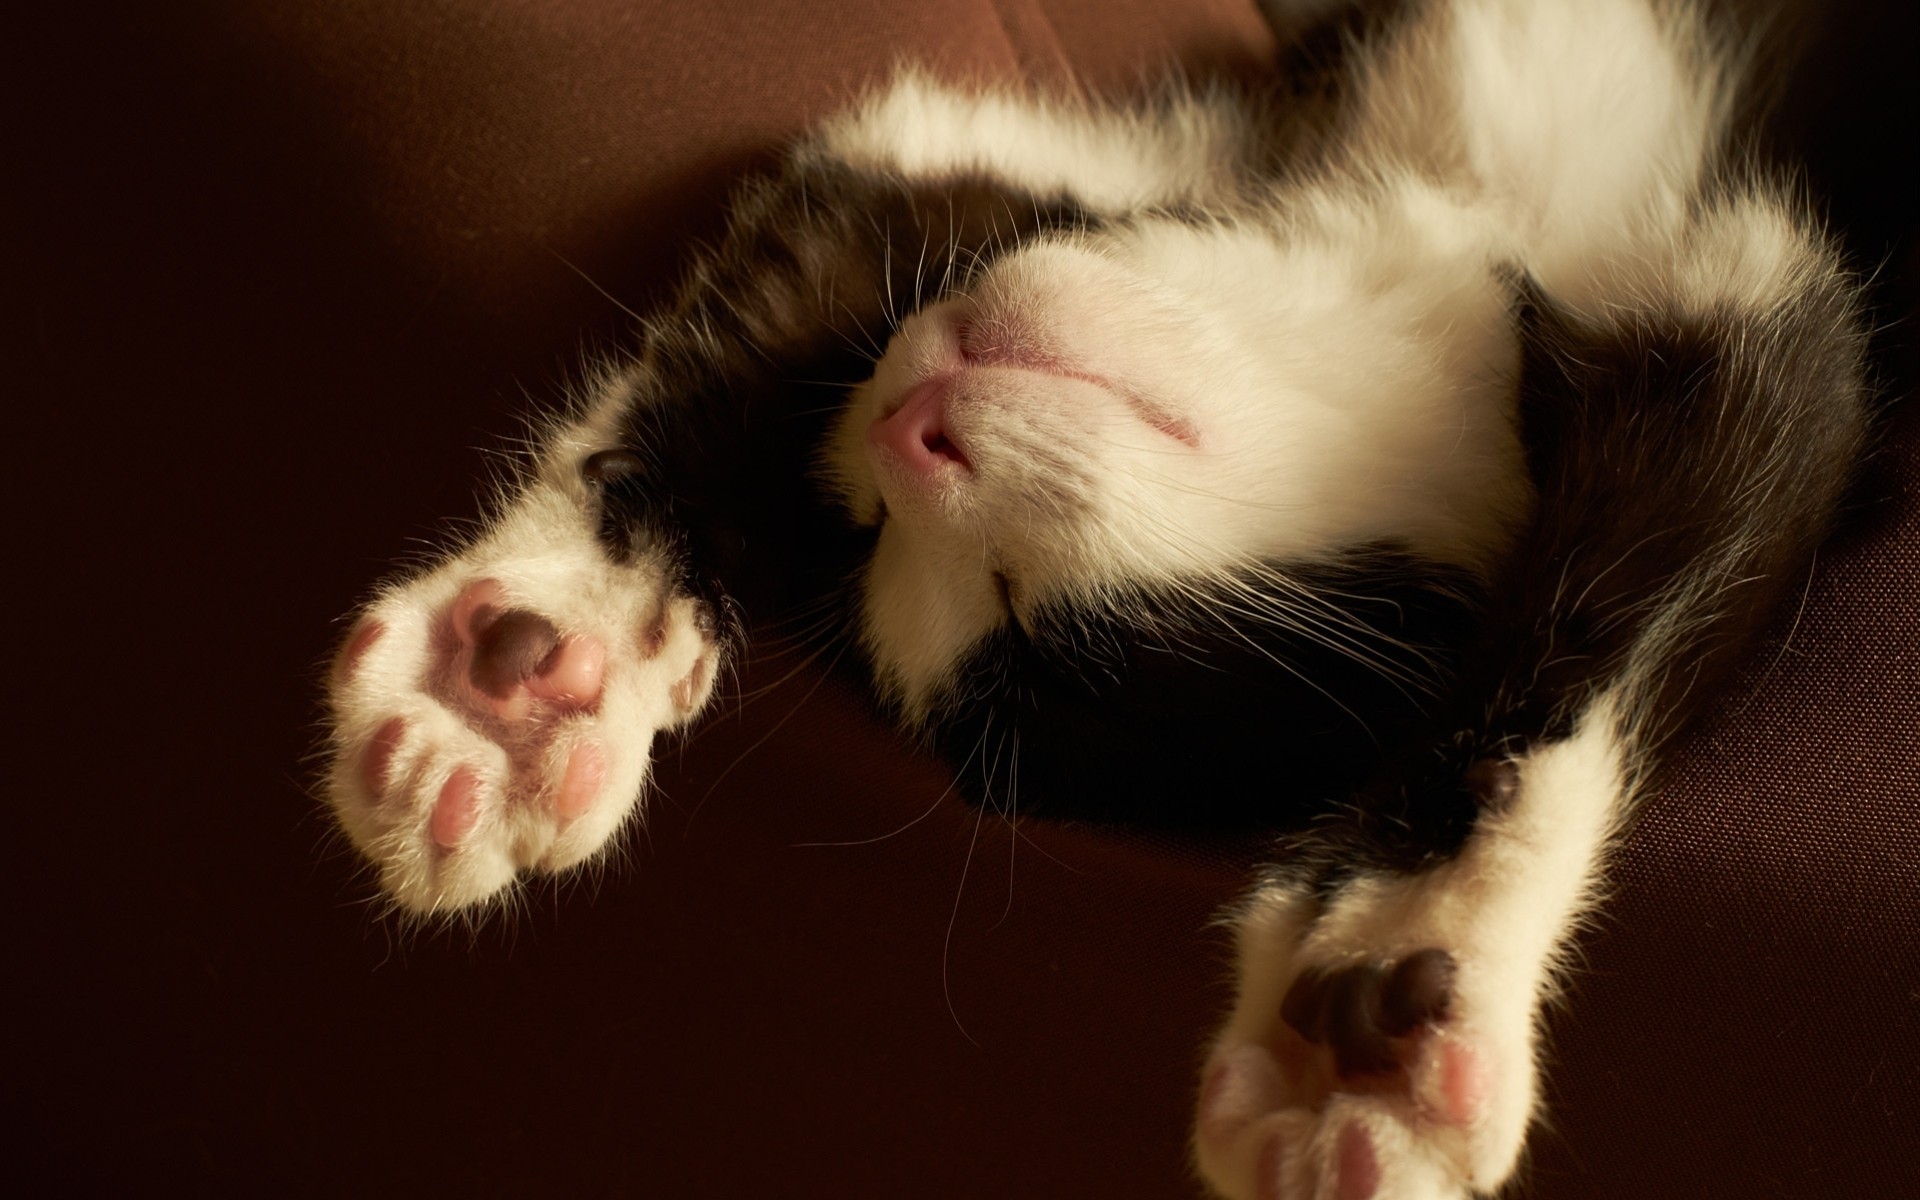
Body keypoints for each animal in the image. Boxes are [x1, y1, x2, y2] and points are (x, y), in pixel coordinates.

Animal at [318, 0, 1858, 1190]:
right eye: (877, 532)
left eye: (1031, 633)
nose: (906, 437)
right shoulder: (1044, 159)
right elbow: (801, 274)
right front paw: (515, 674)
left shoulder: (1749, 300)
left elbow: (1670, 552)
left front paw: (1401, 971)